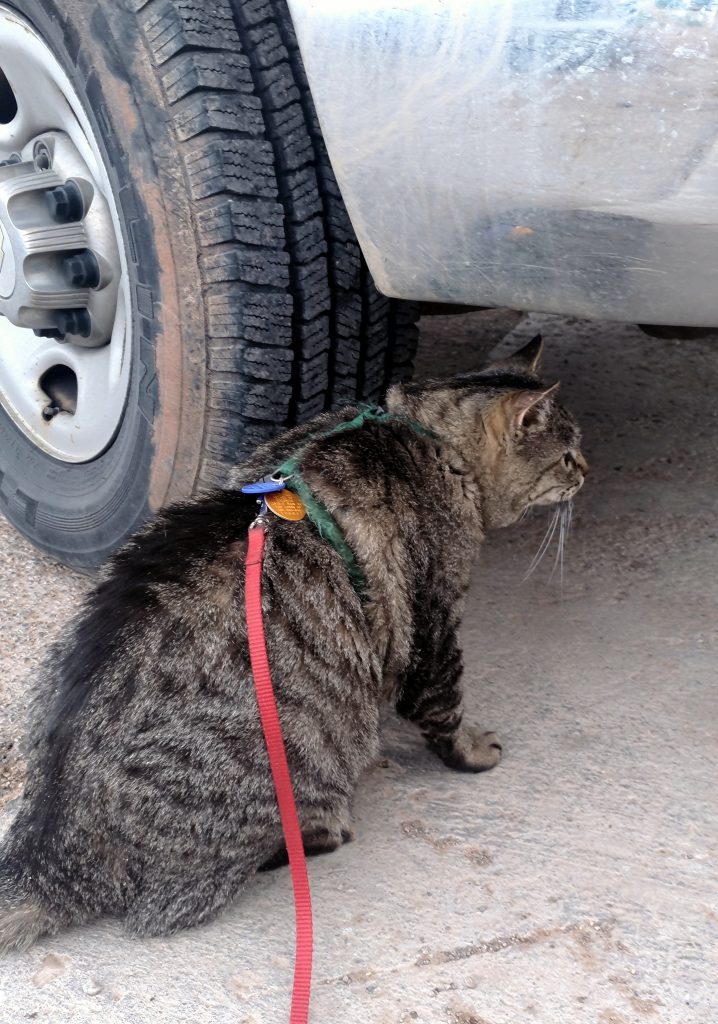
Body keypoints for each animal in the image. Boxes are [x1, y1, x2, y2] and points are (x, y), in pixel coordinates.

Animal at [0, 335, 585, 950]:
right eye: (569, 455)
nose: (587, 472)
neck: (427, 434)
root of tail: (51, 851)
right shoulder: (435, 626)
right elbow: (444, 707)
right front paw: (472, 752)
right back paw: (318, 830)